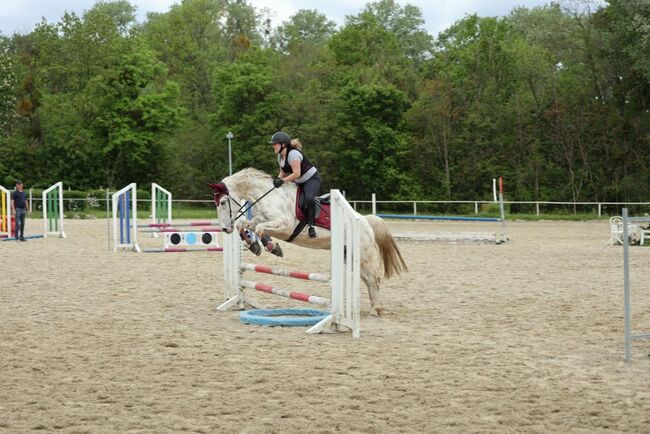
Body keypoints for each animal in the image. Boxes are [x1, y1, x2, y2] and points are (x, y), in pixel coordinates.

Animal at [209, 167, 404, 316]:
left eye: (224, 202)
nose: (225, 229)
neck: (268, 196)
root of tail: (364, 220)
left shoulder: (285, 225)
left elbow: (259, 229)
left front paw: (272, 248)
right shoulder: (259, 220)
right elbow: (245, 224)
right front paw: (254, 245)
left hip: (363, 256)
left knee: (373, 279)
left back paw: (376, 309)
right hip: (348, 255)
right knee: (367, 280)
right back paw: (373, 308)